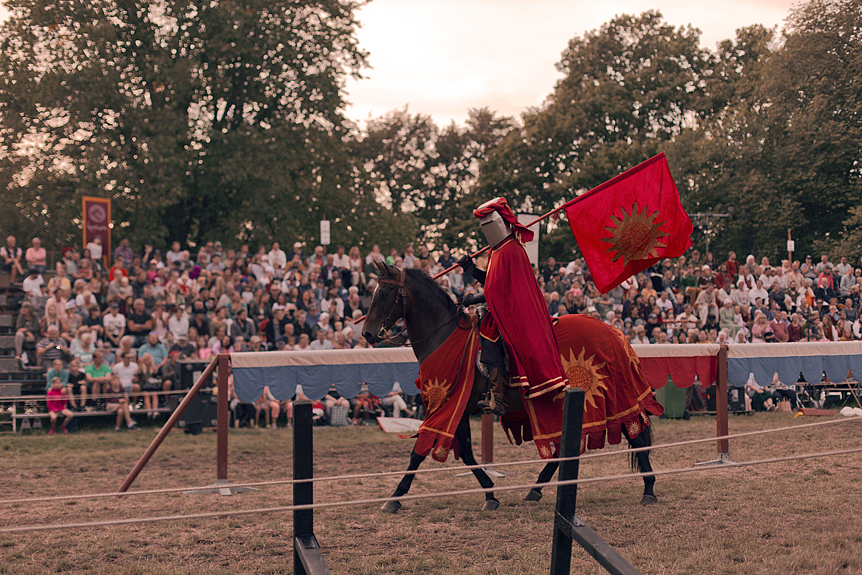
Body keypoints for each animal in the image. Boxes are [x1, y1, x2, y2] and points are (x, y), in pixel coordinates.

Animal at [362, 262, 660, 512]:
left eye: (385, 293)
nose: (367, 333)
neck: (443, 336)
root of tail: (615, 332)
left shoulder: (444, 404)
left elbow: (418, 452)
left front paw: (394, 498)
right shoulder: (458, 407)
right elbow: (466, 452)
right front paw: (490, 493)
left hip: (607, 397)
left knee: (635, 437)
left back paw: (648, 489)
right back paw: (535, 489)